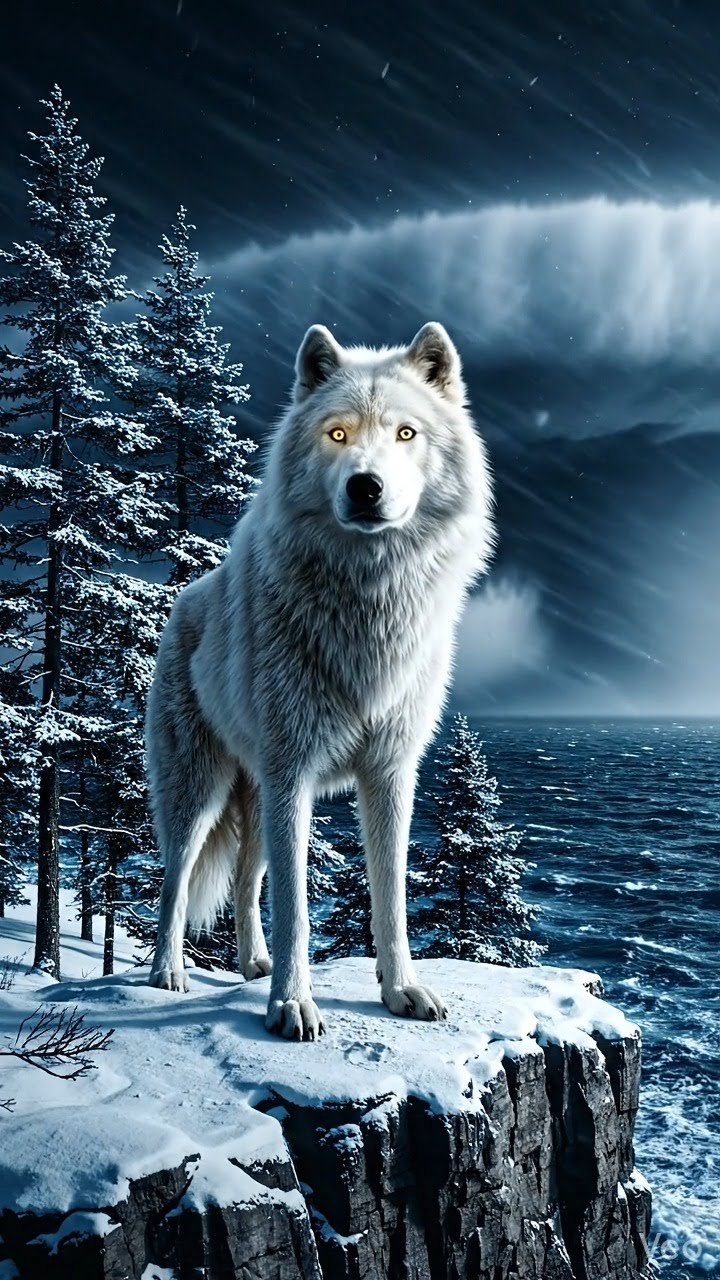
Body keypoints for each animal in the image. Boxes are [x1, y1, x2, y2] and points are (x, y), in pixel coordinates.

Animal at [146, 321, 495, 1040]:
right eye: (337, 433)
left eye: (406, 433)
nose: (365, 486)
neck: (370, 602)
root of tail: (184, 601)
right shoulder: (294, 774)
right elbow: (297, 911)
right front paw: (291, 1006)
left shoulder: (389, 774)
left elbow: (390, 899)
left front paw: (401, 990)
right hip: (200, 792)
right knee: (176, 878)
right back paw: (168, 971)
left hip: (253, 799)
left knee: (245, 881)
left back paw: (251, 964)